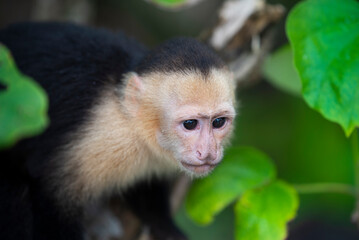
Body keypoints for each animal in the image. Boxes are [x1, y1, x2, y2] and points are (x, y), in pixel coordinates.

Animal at [0, 22, 236, 240]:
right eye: (190, 124)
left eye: (218, 122)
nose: (208, 152)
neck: (131, 121)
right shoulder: (105, 136)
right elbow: (53, 193)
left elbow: (145, 187)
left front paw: (166, 229)